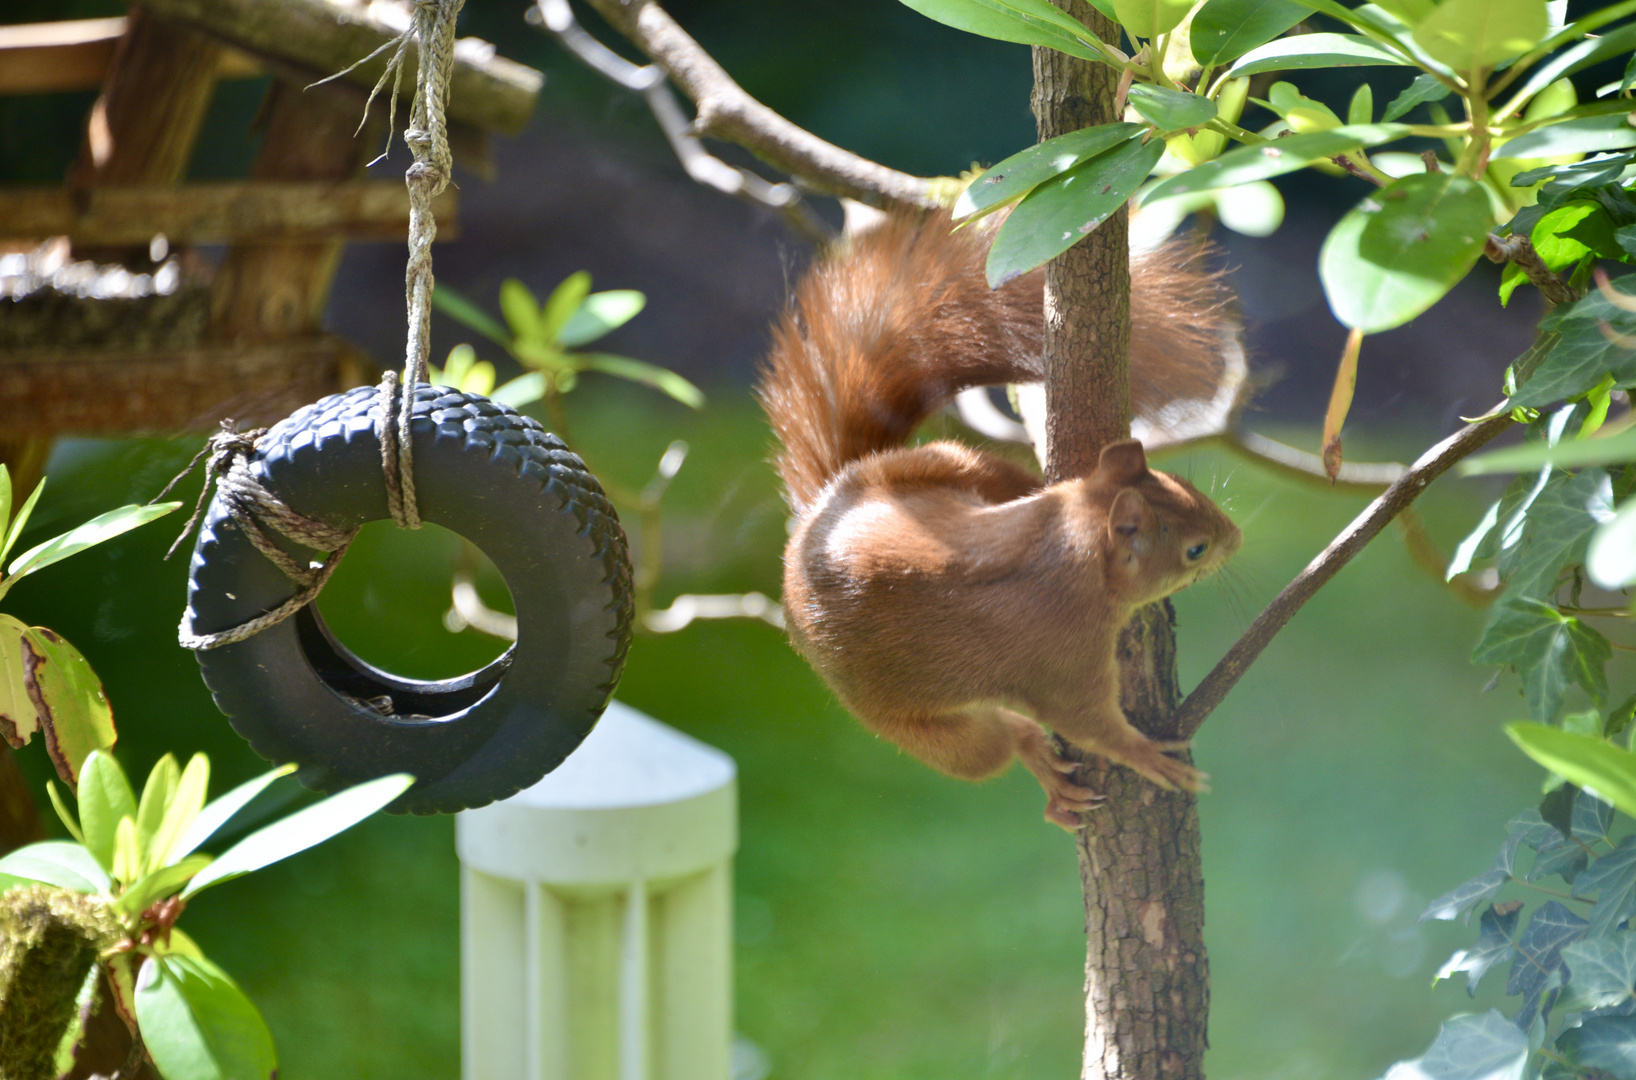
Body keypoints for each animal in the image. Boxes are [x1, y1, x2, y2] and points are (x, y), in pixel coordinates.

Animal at [759, 211, 1243, 828]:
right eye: (1194, 550)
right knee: (997, 743)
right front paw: (1150, 757)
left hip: (948, 462)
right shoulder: (1064, 661)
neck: (1070, 546)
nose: (1236, 537)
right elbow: (1088, 723)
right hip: (916, 723)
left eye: (1188, 487)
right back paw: (1042, 766)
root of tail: (817, 515)